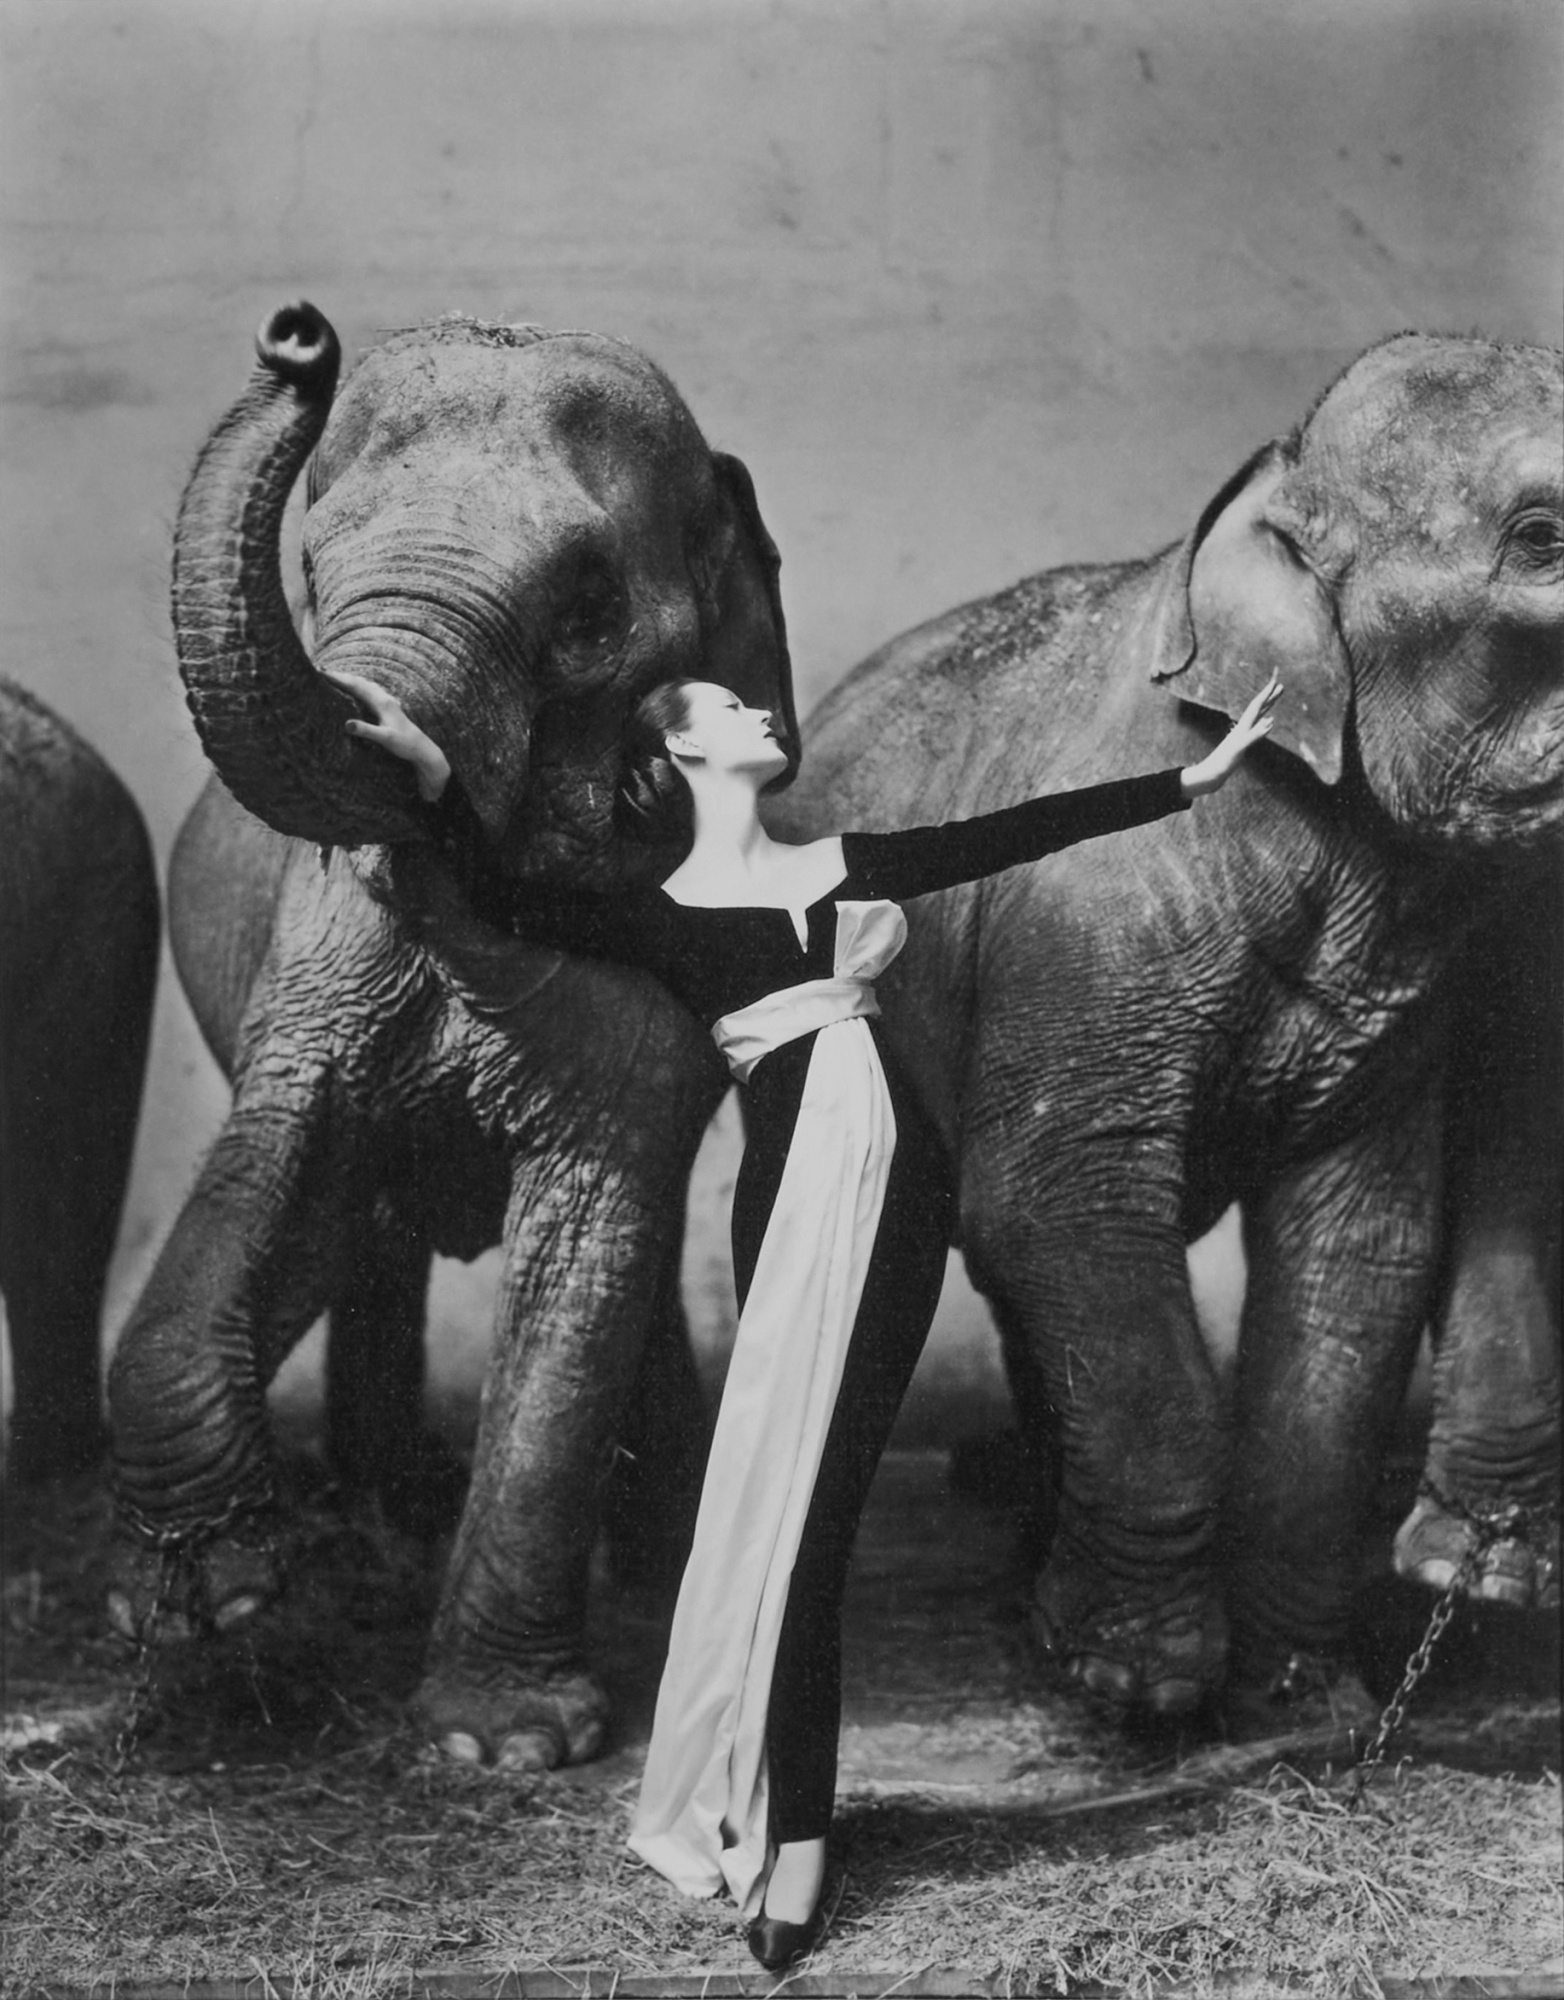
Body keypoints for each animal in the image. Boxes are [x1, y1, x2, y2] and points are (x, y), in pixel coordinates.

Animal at [106, 301, 798, 1767]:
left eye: (589, 609)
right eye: (309, 571)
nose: (297, 337)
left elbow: (599, 1210)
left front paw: (496, 1748)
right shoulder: (315, 952)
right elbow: (288, 1162)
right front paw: (206, 1602)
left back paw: (645, 1555)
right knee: (369, 1236)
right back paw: (389, 1516)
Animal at [766, 333, 1562, 1716]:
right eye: (1542, 539)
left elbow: (1359, 1246)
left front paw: (1301, 1698)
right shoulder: (1088, 924)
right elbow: (1056, 1201)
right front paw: (1131, 1684)